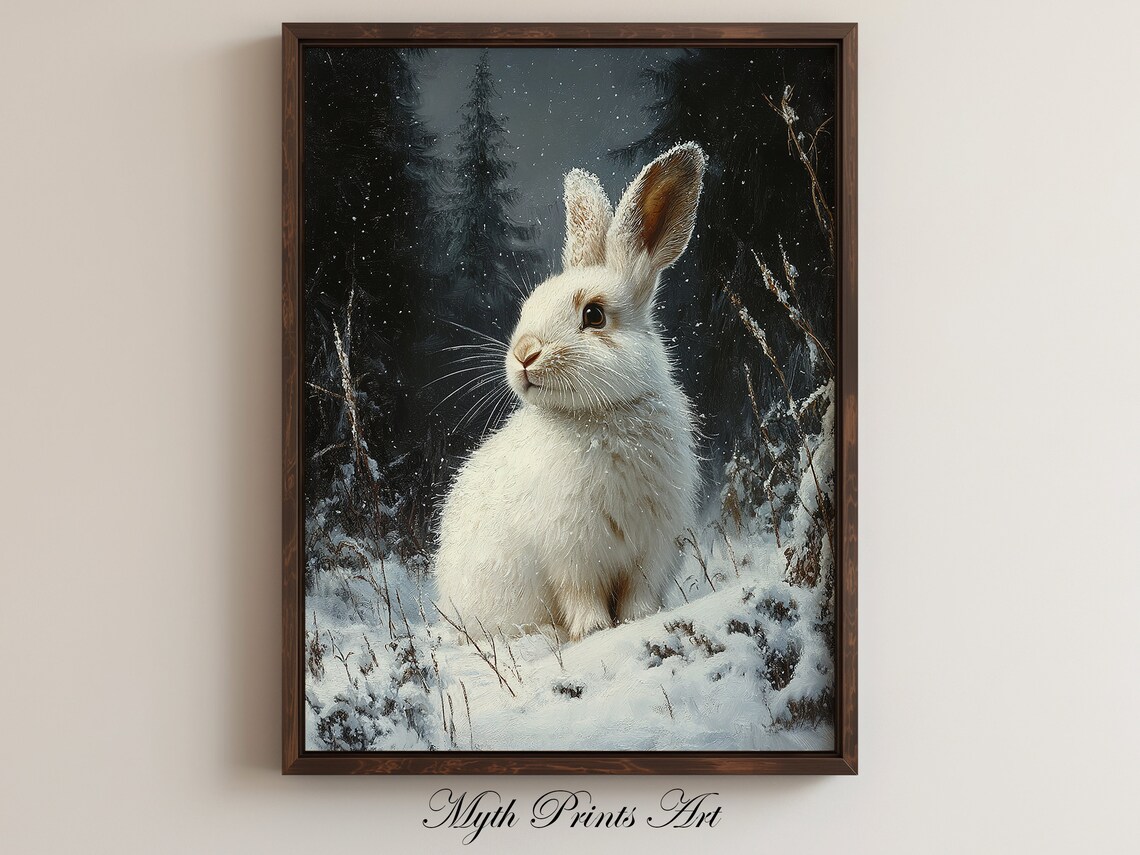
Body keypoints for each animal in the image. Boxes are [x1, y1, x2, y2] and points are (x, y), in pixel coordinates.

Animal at [434, 142, 706, 642]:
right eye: (528, 306)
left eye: (594, 315)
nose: (524, 353)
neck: (601, 418)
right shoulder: (570, 551)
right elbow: (580, 593)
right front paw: (593, 629)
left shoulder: (653, 547)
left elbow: (638, 591)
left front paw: (638, 619)